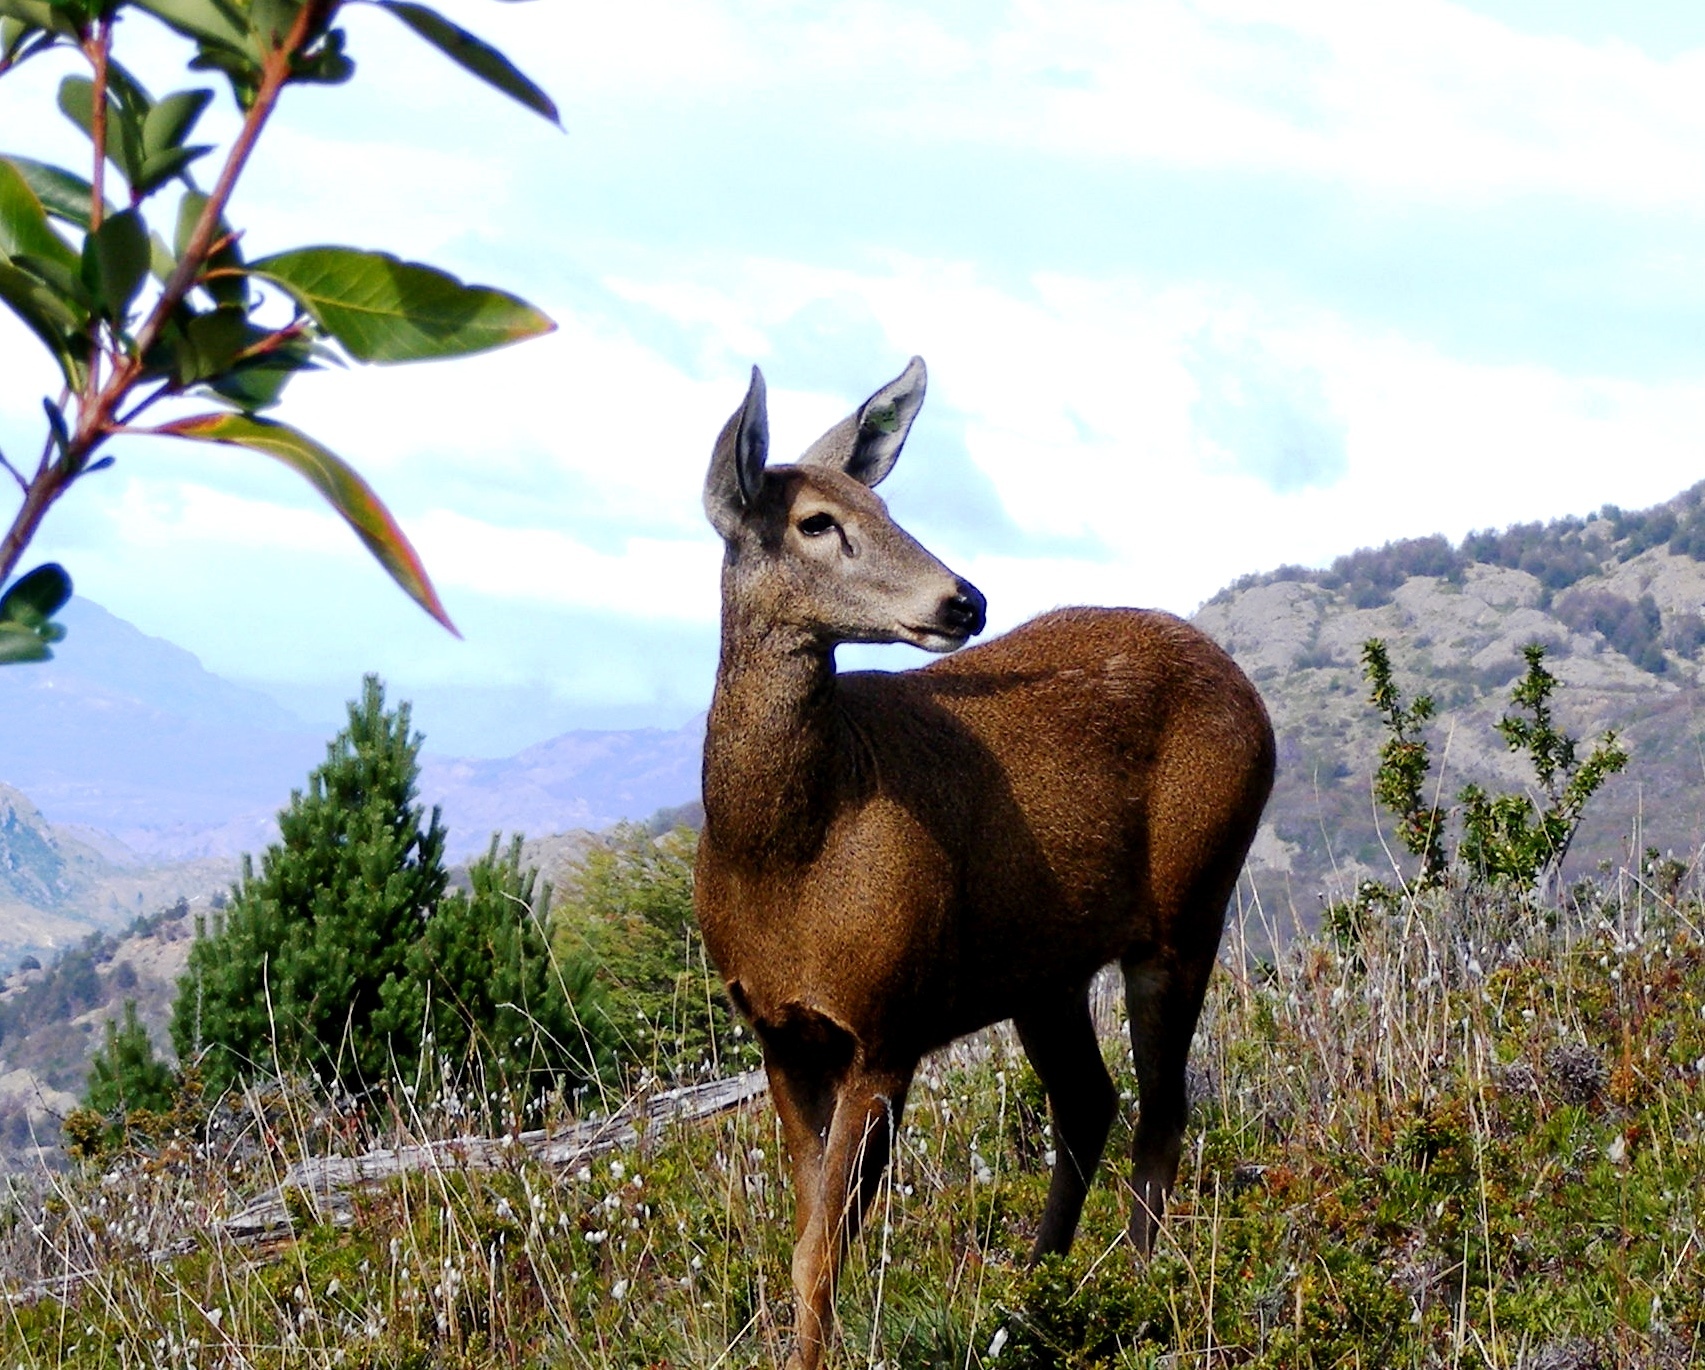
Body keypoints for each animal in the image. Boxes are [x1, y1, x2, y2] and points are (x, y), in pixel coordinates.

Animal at [688, 356, 1268, 1370]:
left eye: (883, 505)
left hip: (1188, 902)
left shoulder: (887, 1019)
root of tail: (1247, 690)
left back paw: (1136, 1287)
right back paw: (1031, 1304)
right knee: (1089, 1102)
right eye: (816, 520)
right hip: (1043, 969)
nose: (963, 599)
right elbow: (804, 1233)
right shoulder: (778, 1032)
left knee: (1161, 1107)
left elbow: (821, 1248)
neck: (783, 857)